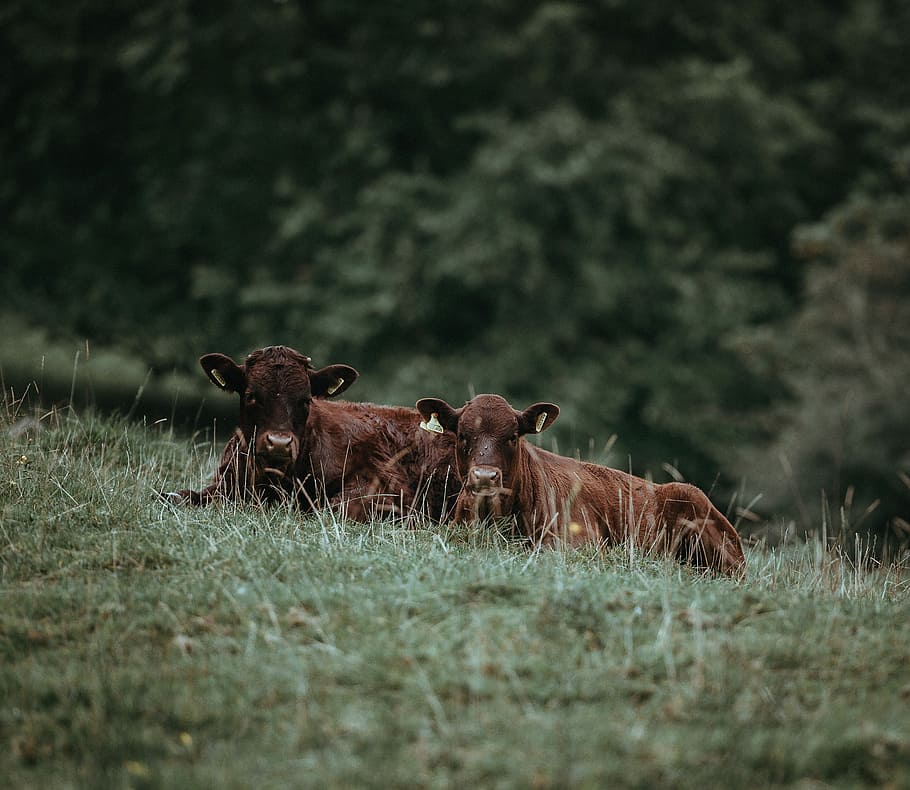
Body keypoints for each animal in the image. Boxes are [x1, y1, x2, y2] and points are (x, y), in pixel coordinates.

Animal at [167, 346, 457, 521]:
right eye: (251, 396)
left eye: (305, 400)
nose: (279, 443)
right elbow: (178, 496)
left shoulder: (390, 489)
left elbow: (335, 506)